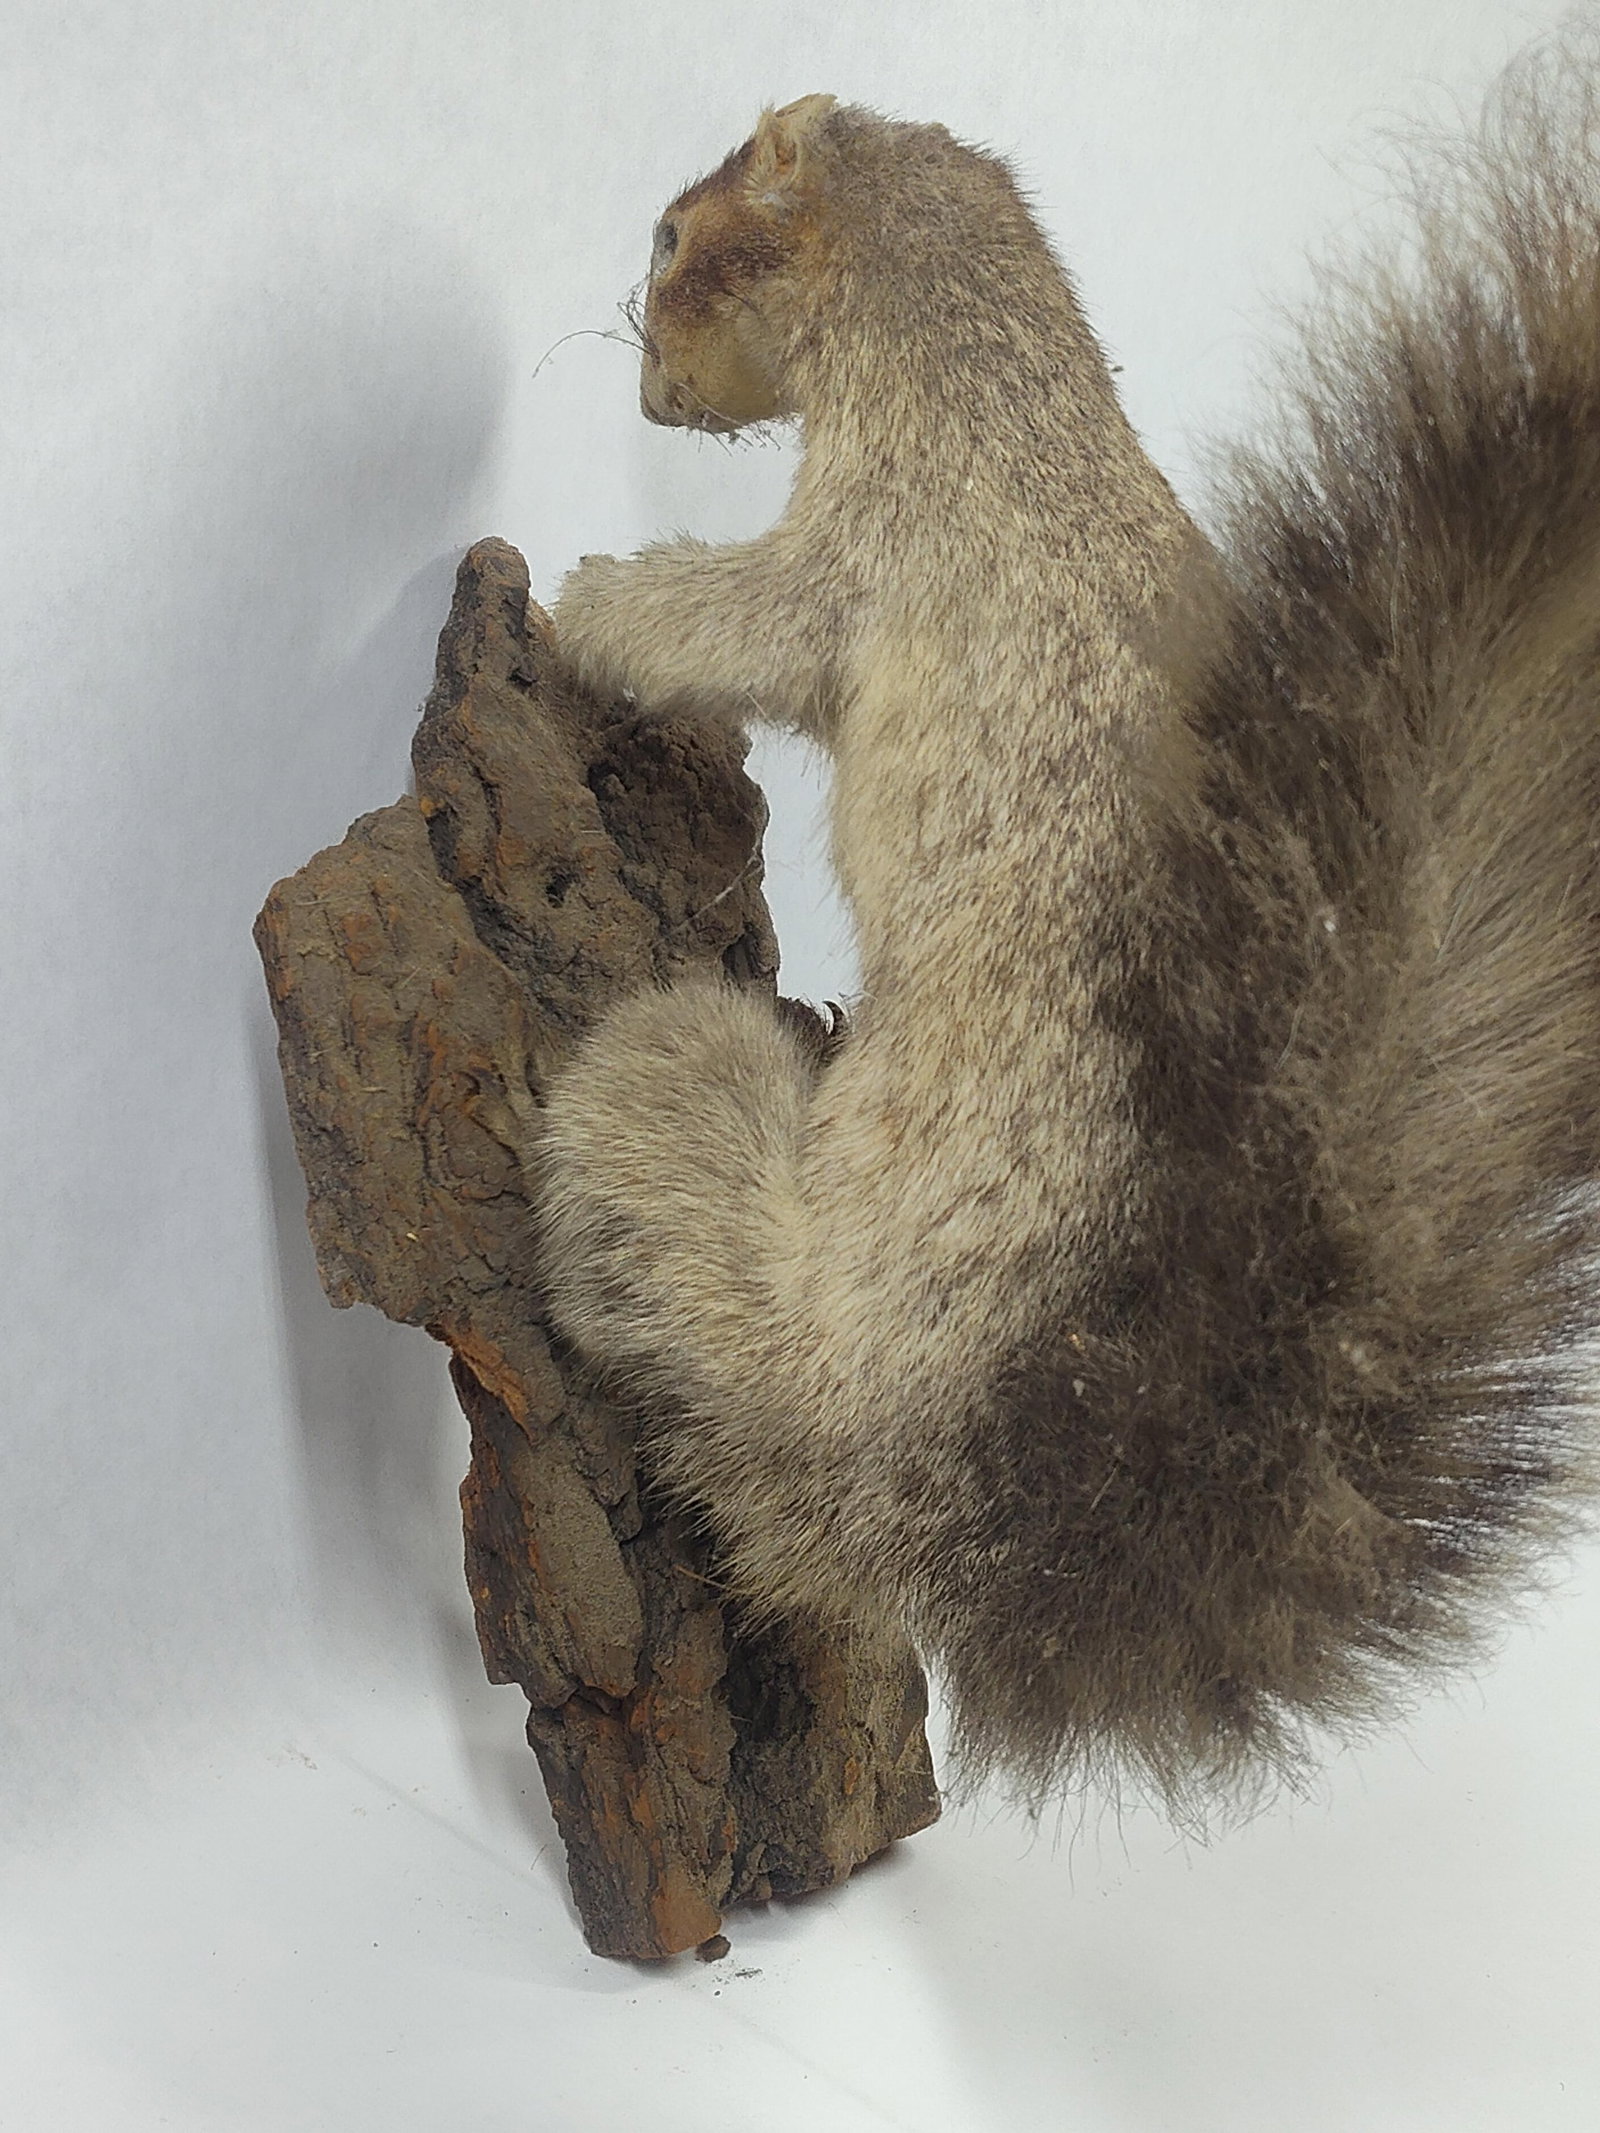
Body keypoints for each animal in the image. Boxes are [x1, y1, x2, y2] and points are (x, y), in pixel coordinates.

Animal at [538, 60, 1600, 1810]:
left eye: (675, 236)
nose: (645, 400)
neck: (990, 364)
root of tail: (959, 1480)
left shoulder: (874, 540)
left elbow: (741, 621)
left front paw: (590, 604)